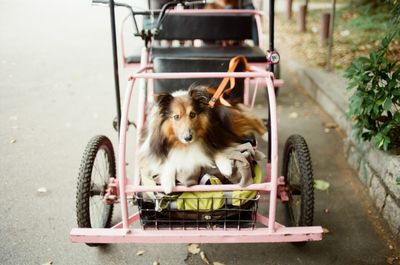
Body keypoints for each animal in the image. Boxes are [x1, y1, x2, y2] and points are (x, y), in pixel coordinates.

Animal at [138, 85, 268, 193]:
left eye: (192, 114)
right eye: (176, 117)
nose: (188, 138)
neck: (184, 145)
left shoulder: (219, 134)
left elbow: (215, 149)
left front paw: (225, 166)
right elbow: (167, 161)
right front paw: (167, 182)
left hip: (229, 117)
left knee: (251, 118)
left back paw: (266, 134)